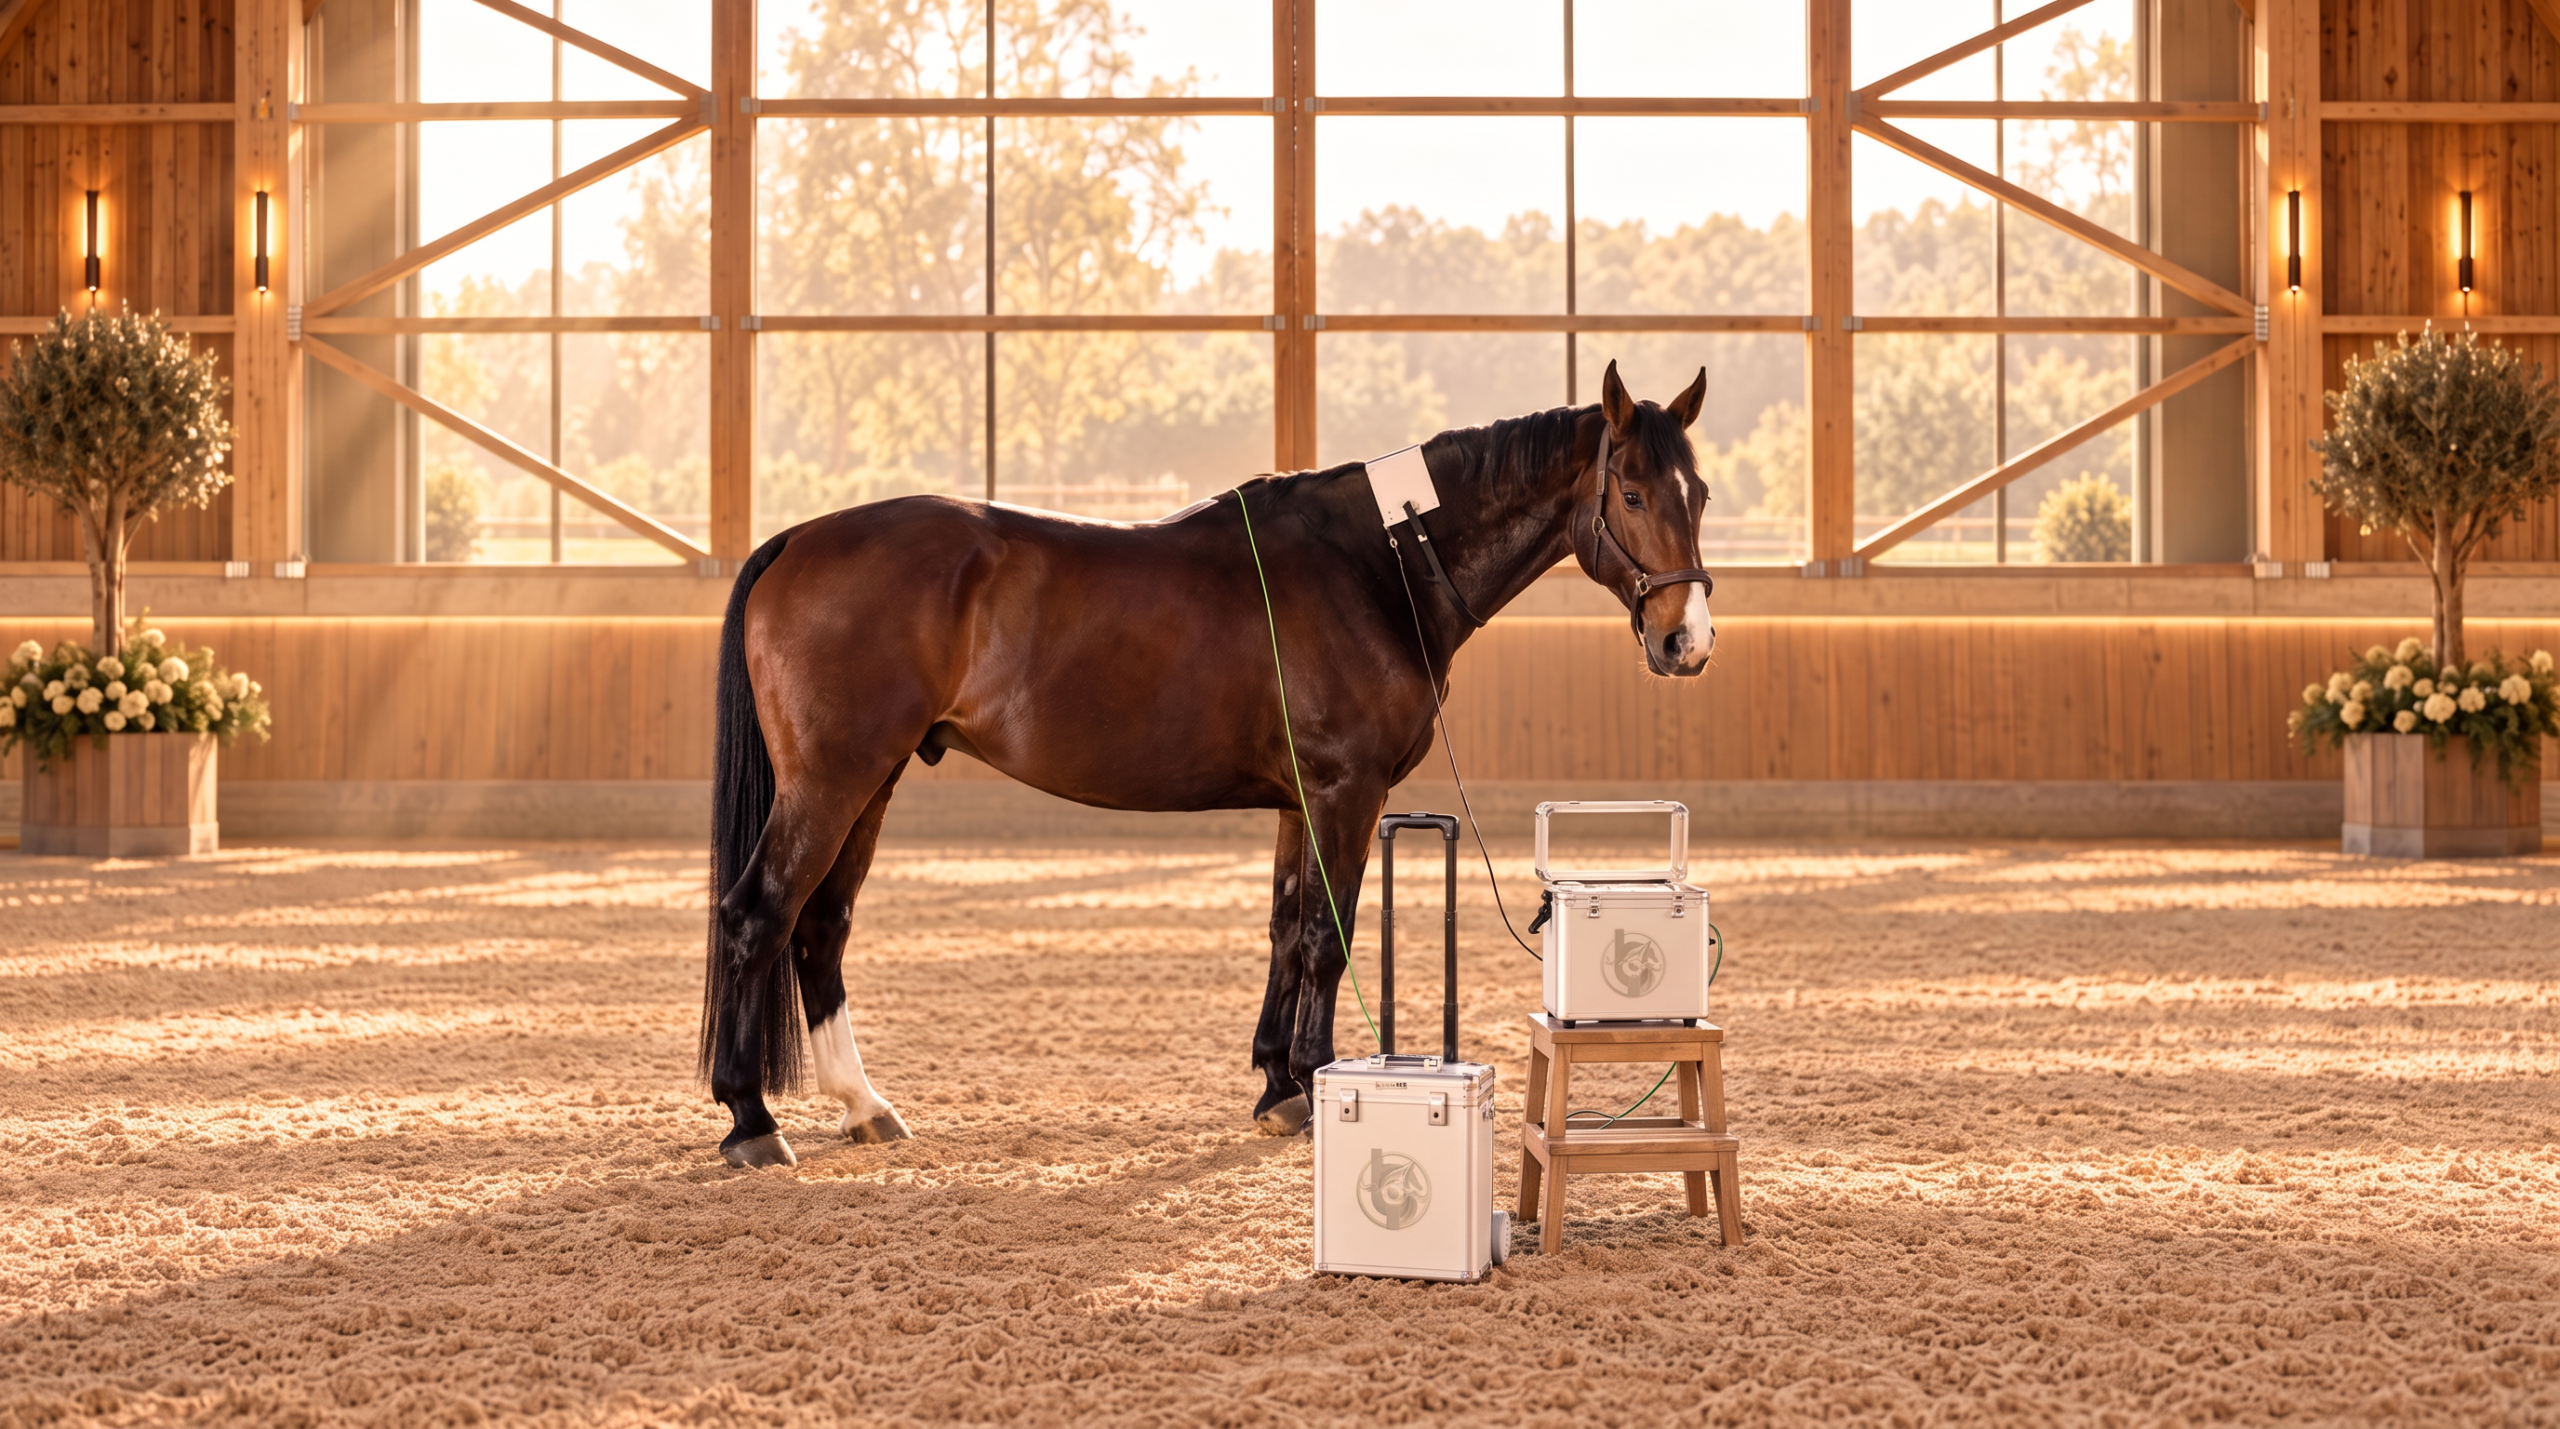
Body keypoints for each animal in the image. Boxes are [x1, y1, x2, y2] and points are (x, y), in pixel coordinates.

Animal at [700, 359, 1717, 1168]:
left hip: (870, 782)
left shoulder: (1299, 801)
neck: (1379, 561)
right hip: (832, 783)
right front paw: (1311, 1079)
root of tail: (796, 538)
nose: (1688, 641)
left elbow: (1284, 927)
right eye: (1631, 493)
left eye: (1697, 494)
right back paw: (753, 1121)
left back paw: (863, 1105)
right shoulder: (1345, 793)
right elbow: (1325, 934)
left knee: (820, 924)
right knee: (759, 914)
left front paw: (1276, 1083)